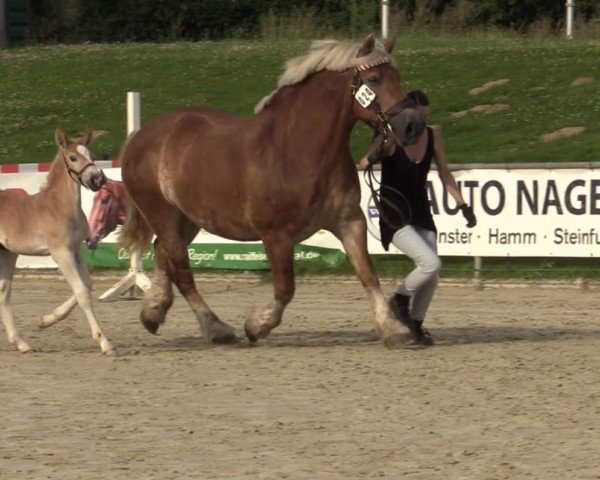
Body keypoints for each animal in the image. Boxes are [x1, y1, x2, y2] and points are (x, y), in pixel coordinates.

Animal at [0, 129, 116, 354]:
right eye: (72, 157)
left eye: (90, 154)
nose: (97, 178)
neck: (59, 206)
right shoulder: (60, 252)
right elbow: (81, 292)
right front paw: (105, 343)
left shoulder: (75, 250)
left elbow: (87, 284)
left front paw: (47, 320)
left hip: (8, 253)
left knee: (4, 291)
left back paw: (20, 343)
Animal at [119, 34, 424, 348]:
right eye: (374, 79)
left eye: (397, 77)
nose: (412, 126)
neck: (300, 149)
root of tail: (140, 137)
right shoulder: (276, 235)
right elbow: (285, 289)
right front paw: (256, 326)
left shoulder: (349, 221)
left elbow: (368, 275)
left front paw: (394, 330)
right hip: (163, 214)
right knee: (182, 271)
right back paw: (215, 328)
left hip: (188, 218)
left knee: (162, 253)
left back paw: (153, 311)